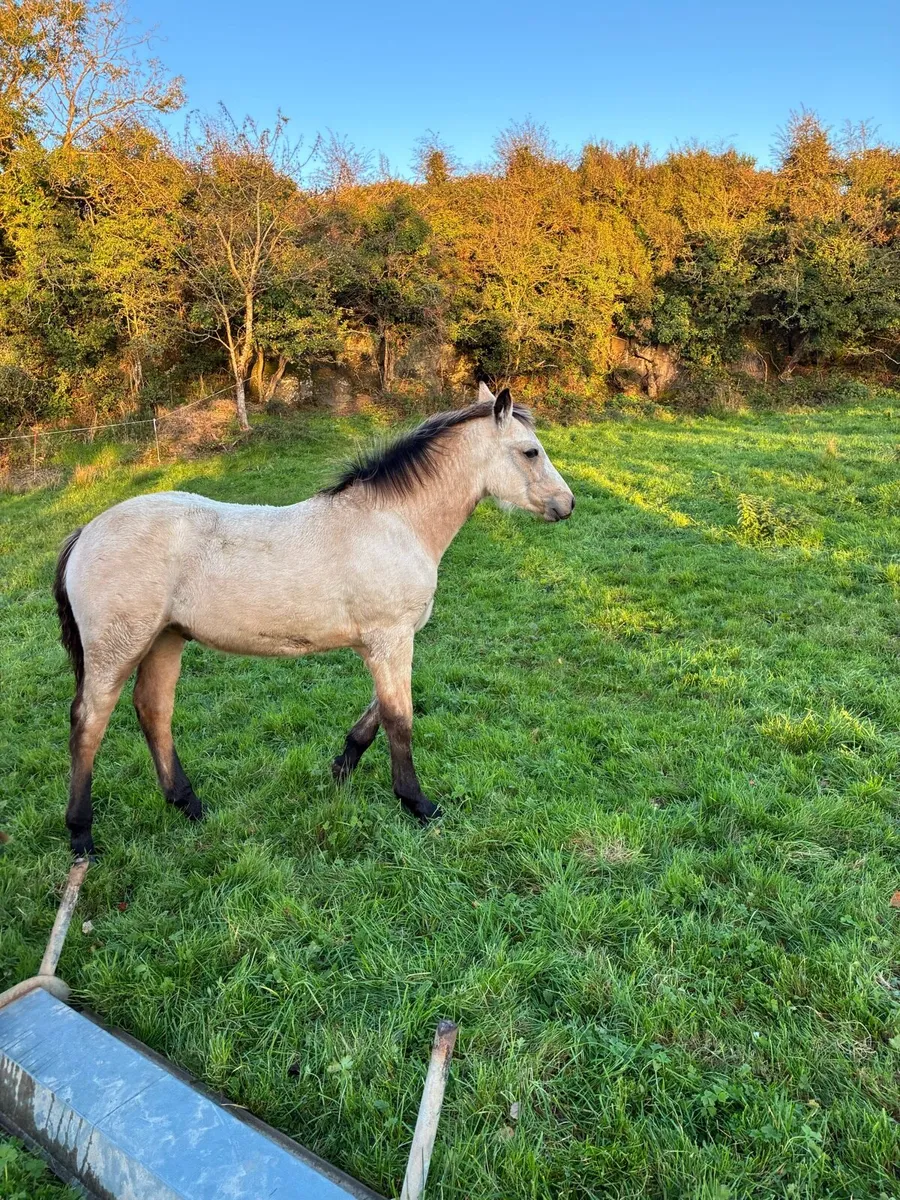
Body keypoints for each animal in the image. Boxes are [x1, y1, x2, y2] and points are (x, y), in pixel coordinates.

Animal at [53, 384, 575, 856]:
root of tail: (86, 531)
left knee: (153, 711)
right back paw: (82, 836)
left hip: (165, 639)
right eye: (530, 451)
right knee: (89, 724)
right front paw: (418, 804)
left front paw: (342, 766)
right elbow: (400, 717)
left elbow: (380, 710)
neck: (393, 522)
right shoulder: (391, 638)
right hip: (118, 648)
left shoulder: (388, 641)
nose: (567, 504)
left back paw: (189, 805)